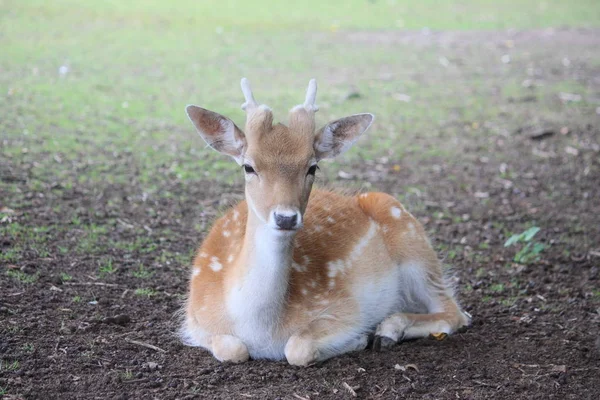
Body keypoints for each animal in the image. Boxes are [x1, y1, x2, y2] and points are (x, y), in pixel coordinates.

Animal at [180, 78, 472, 366]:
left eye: (312, 167)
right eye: (248, 166)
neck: (261, 331)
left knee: (454, 312)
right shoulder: (195, 317)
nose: (286, 217)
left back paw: (387, 330)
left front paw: (359, 339)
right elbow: (232, 349)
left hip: (414, 245)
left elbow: (297, 348)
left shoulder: (346, 307)